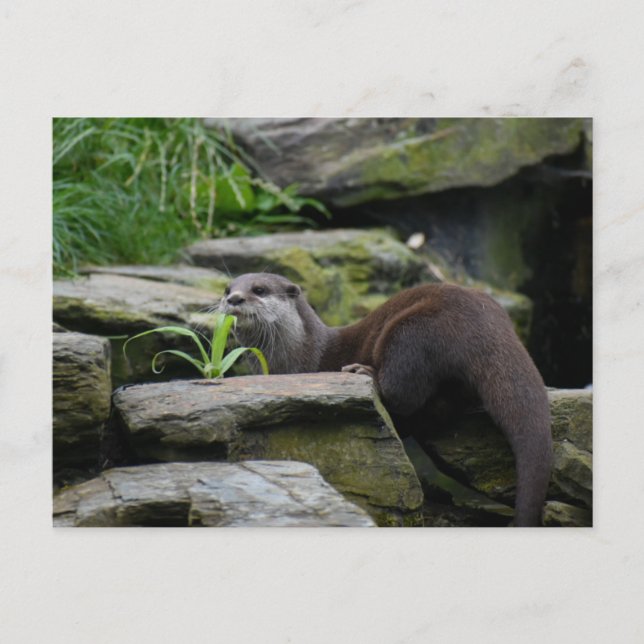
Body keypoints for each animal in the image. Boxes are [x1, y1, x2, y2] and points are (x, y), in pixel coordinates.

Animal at [218, 272, 552, 527]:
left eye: (259, 290)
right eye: (227, 288)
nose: (234, 299)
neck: (303, 355)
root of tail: (492, 326)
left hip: (412, 329)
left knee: (403, 390)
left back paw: (364, 372)